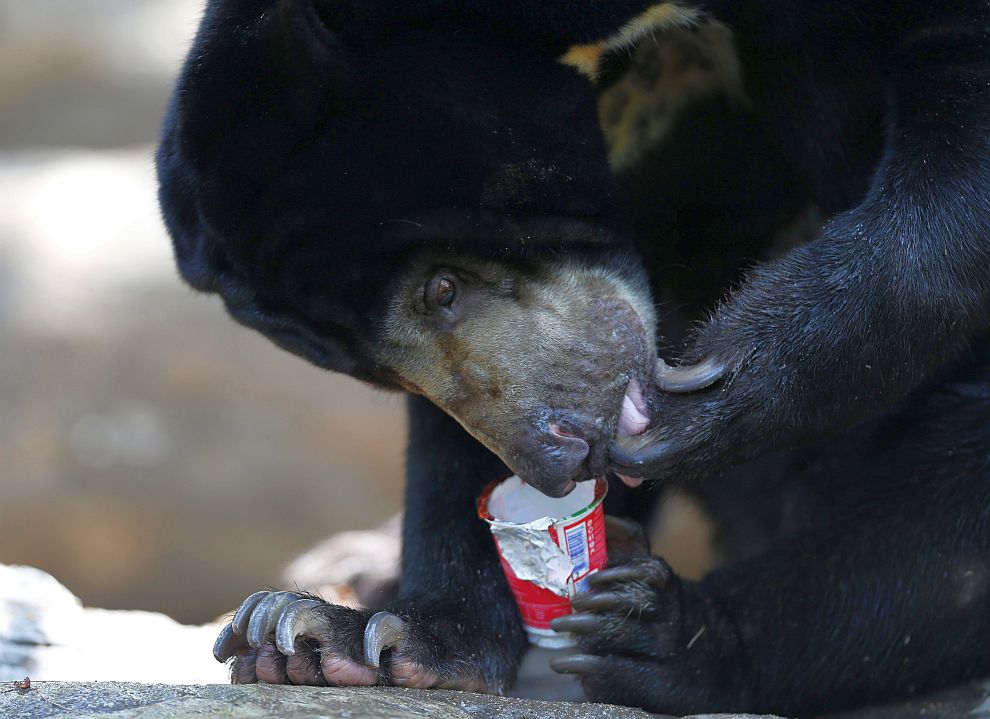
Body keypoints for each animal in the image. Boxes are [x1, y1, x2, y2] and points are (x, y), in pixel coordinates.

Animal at [157, 2, 990, 716]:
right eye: (380, 374)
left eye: (442, 287)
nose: (559, 459)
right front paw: (363, 637)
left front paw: (715, 390)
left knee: (941, 533)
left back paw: (658, 632)